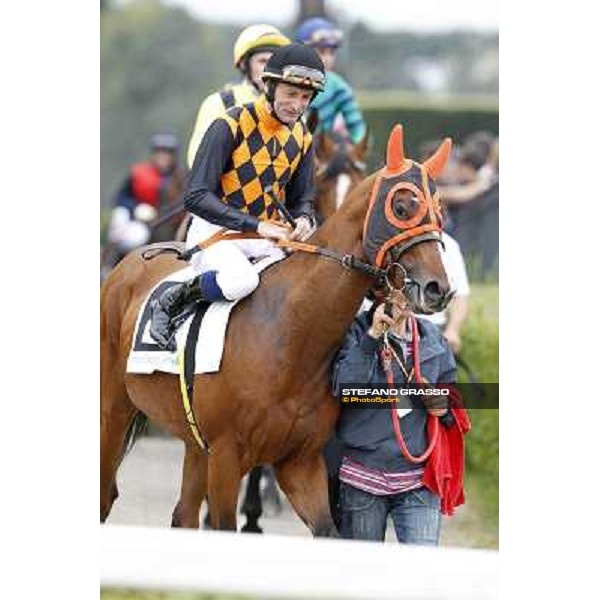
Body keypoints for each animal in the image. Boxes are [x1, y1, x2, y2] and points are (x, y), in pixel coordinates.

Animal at [101, 125, 452, 536]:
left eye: (440, 211)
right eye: (401, 207)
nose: (438, 288)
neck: (293, 334)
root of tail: (126, 266)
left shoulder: (301, 460)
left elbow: (327, 529)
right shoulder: (226, 455)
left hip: (194, 442)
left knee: (182, 515)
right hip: (113, 409)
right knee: (106, 493)